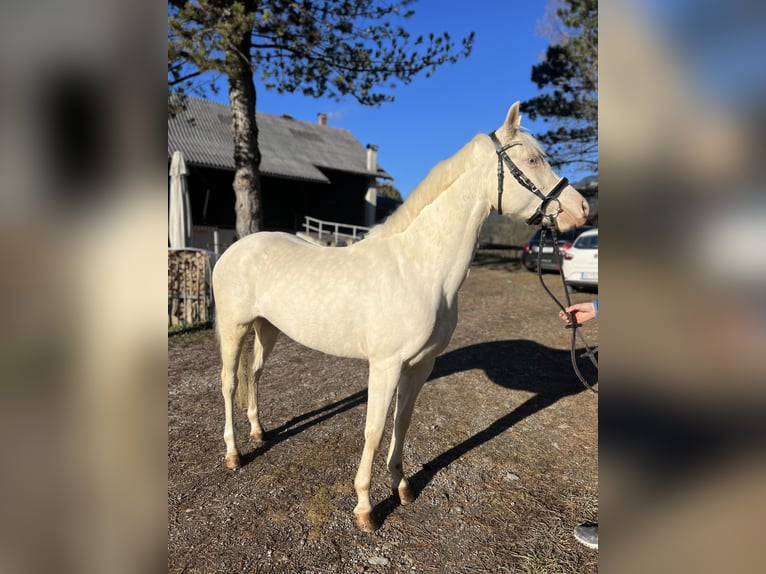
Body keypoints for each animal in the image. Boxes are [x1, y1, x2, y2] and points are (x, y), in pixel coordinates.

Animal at [213, 103, 592, 536]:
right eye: (532, 160)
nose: (581, 209)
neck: (419, 268)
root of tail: (236, 248)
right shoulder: (386, 365)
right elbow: (374, 430)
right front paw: (365, 507)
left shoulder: (419, 365)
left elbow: (402, 422)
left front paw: (402, 486)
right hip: (234, 329)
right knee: (229, 383)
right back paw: (234, 453)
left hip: (267, 328)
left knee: (255, 375)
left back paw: (259, 433)